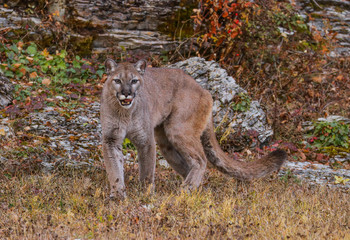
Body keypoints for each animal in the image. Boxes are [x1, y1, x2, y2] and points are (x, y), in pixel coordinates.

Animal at [100, 58, 286, 199]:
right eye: (117, 80)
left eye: (134, 81)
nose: (126, 93)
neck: (124, 113)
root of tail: (204, 89)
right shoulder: (111, 139)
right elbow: (114, 169)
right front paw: (118, 195)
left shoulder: (145, 140)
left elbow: (146, 170)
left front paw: (144, 194)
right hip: (166, 142)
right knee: (189, 164)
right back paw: (195, 190)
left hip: (178, 130)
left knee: (201, 159)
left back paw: (186, 189)